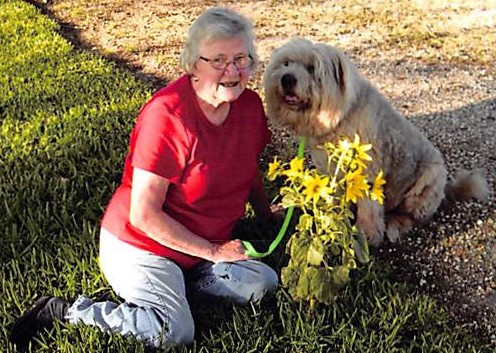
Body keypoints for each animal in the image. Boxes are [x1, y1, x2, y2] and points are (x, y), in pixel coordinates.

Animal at [264, 36, 488, 245]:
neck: (340, 117)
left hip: (428, 181)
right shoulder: (330, 171)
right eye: (286, 63)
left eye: (312, 68)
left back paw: (397, 223)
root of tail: (446, 190)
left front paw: (367, 234)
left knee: (413, 215)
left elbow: (369, 208)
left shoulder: (366, 174)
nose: (287, 79)